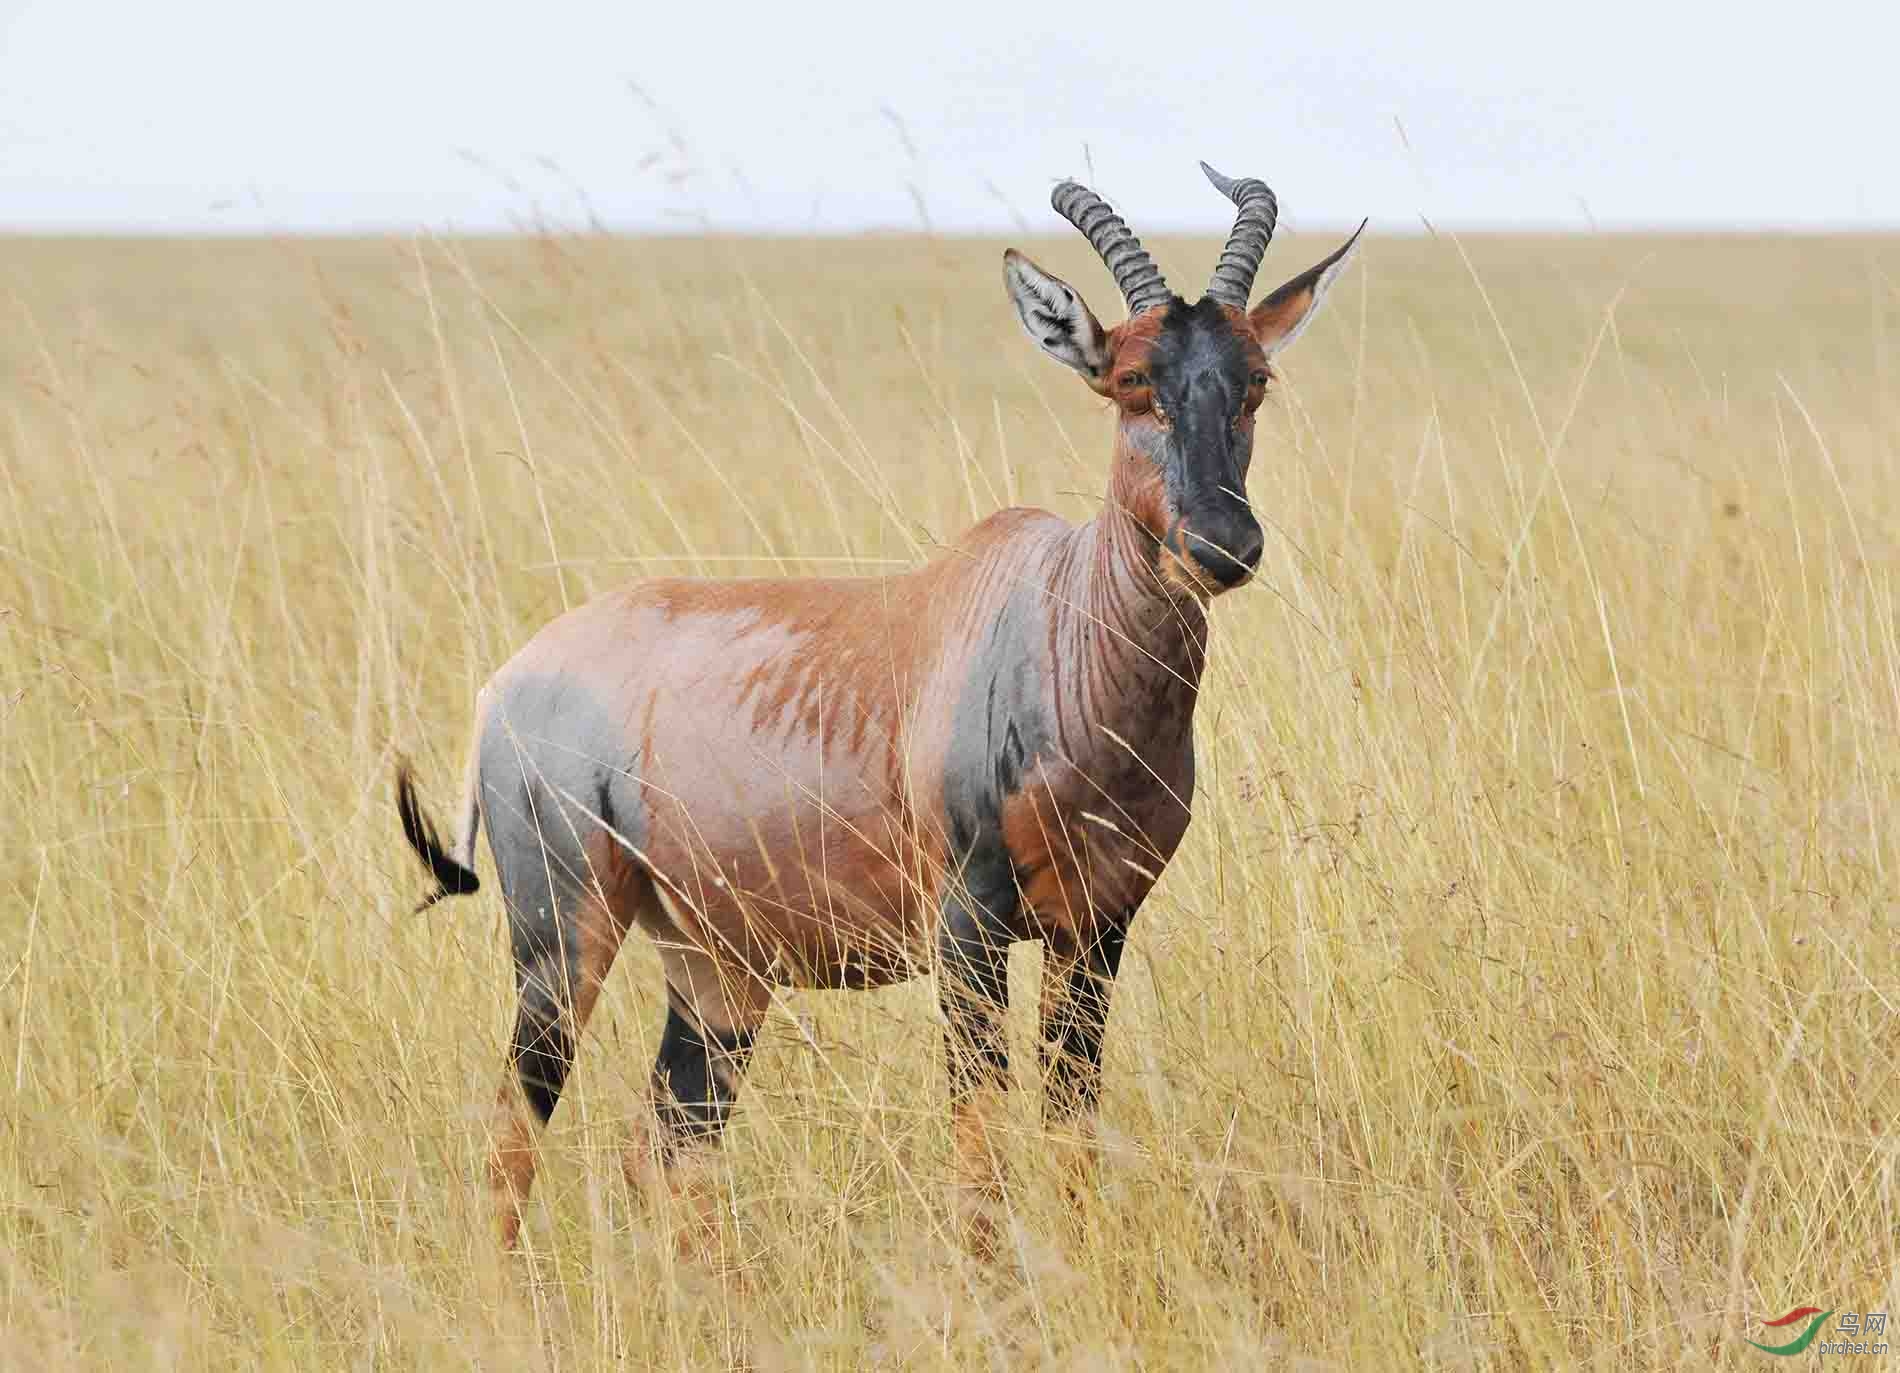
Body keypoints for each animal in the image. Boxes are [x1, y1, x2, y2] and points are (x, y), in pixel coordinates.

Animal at [397, 161, 1368, 1253]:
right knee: (512, 1138)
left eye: (1255, 380)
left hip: (713, 963)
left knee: (668, 1147)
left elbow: (1071, 1129)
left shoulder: (1097, 928)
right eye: (1130, 381)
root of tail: (504, 683)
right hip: (562, 935)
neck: (1053, 619)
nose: (1221, 544)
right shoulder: (968, 926)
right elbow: (979, 1141)